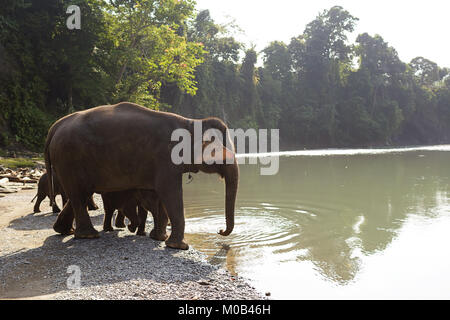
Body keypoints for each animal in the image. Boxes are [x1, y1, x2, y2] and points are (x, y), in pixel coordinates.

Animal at [44, 102, 239, 250]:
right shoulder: (165, 158)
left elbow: (161, 196)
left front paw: (159, 238)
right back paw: (89, 236)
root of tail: (54, 127)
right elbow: (169, 193)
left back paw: (65, 231)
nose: (220, 231)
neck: (190, 122)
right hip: (70, 159)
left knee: (80, 194)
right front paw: (178, 246)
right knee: (78, 194)